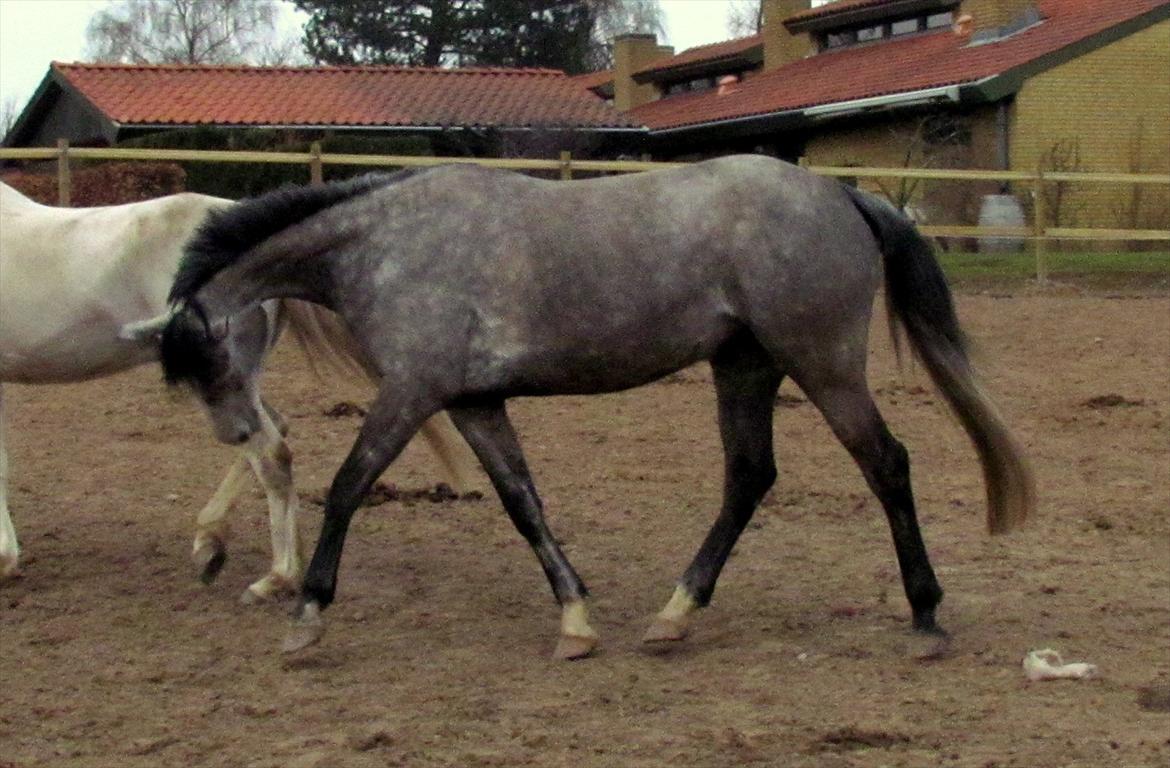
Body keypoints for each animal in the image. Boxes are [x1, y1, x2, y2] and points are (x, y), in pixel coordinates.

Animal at [157, 158, 1034, 660]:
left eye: (210, 358)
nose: (241, 434)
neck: (385, 244)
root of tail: (843, 195)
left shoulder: (411, 391)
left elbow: (347, 487)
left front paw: (307, 613)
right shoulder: (473, 402)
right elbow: (523, 503)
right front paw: (576, 621)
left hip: (822, 363)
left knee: (885, 464)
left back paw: (925, 617)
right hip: (744, 366)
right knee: (749, 477)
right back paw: (675, 615)